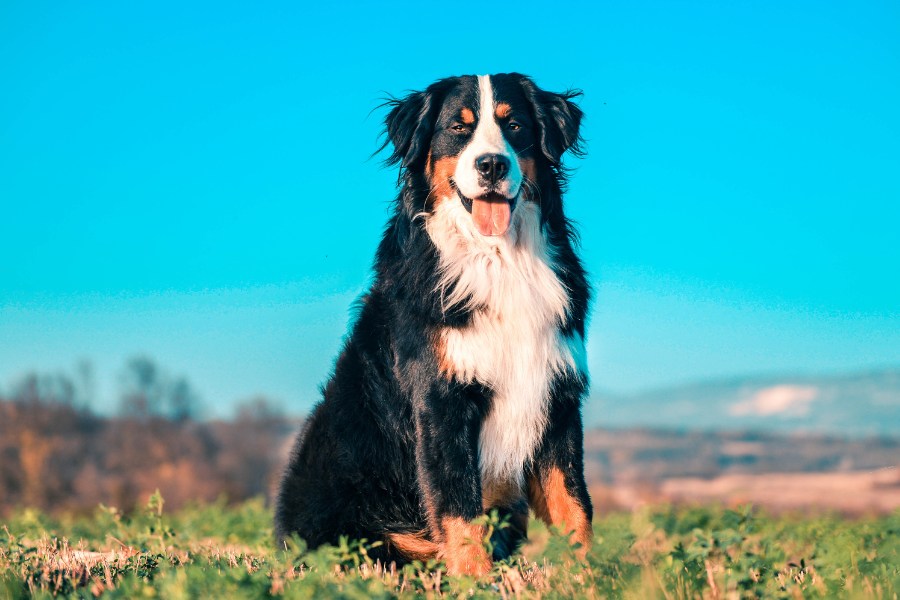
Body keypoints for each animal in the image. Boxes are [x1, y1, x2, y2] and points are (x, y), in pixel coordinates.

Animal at [278, 72, 596, 576]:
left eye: (515, 125)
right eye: (458, 128)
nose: (491, 165)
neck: (499, 261)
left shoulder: (558, 397)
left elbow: (573, 505)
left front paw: (588, 578)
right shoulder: (440, 400)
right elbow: (459, 507)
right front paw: (475, 581)